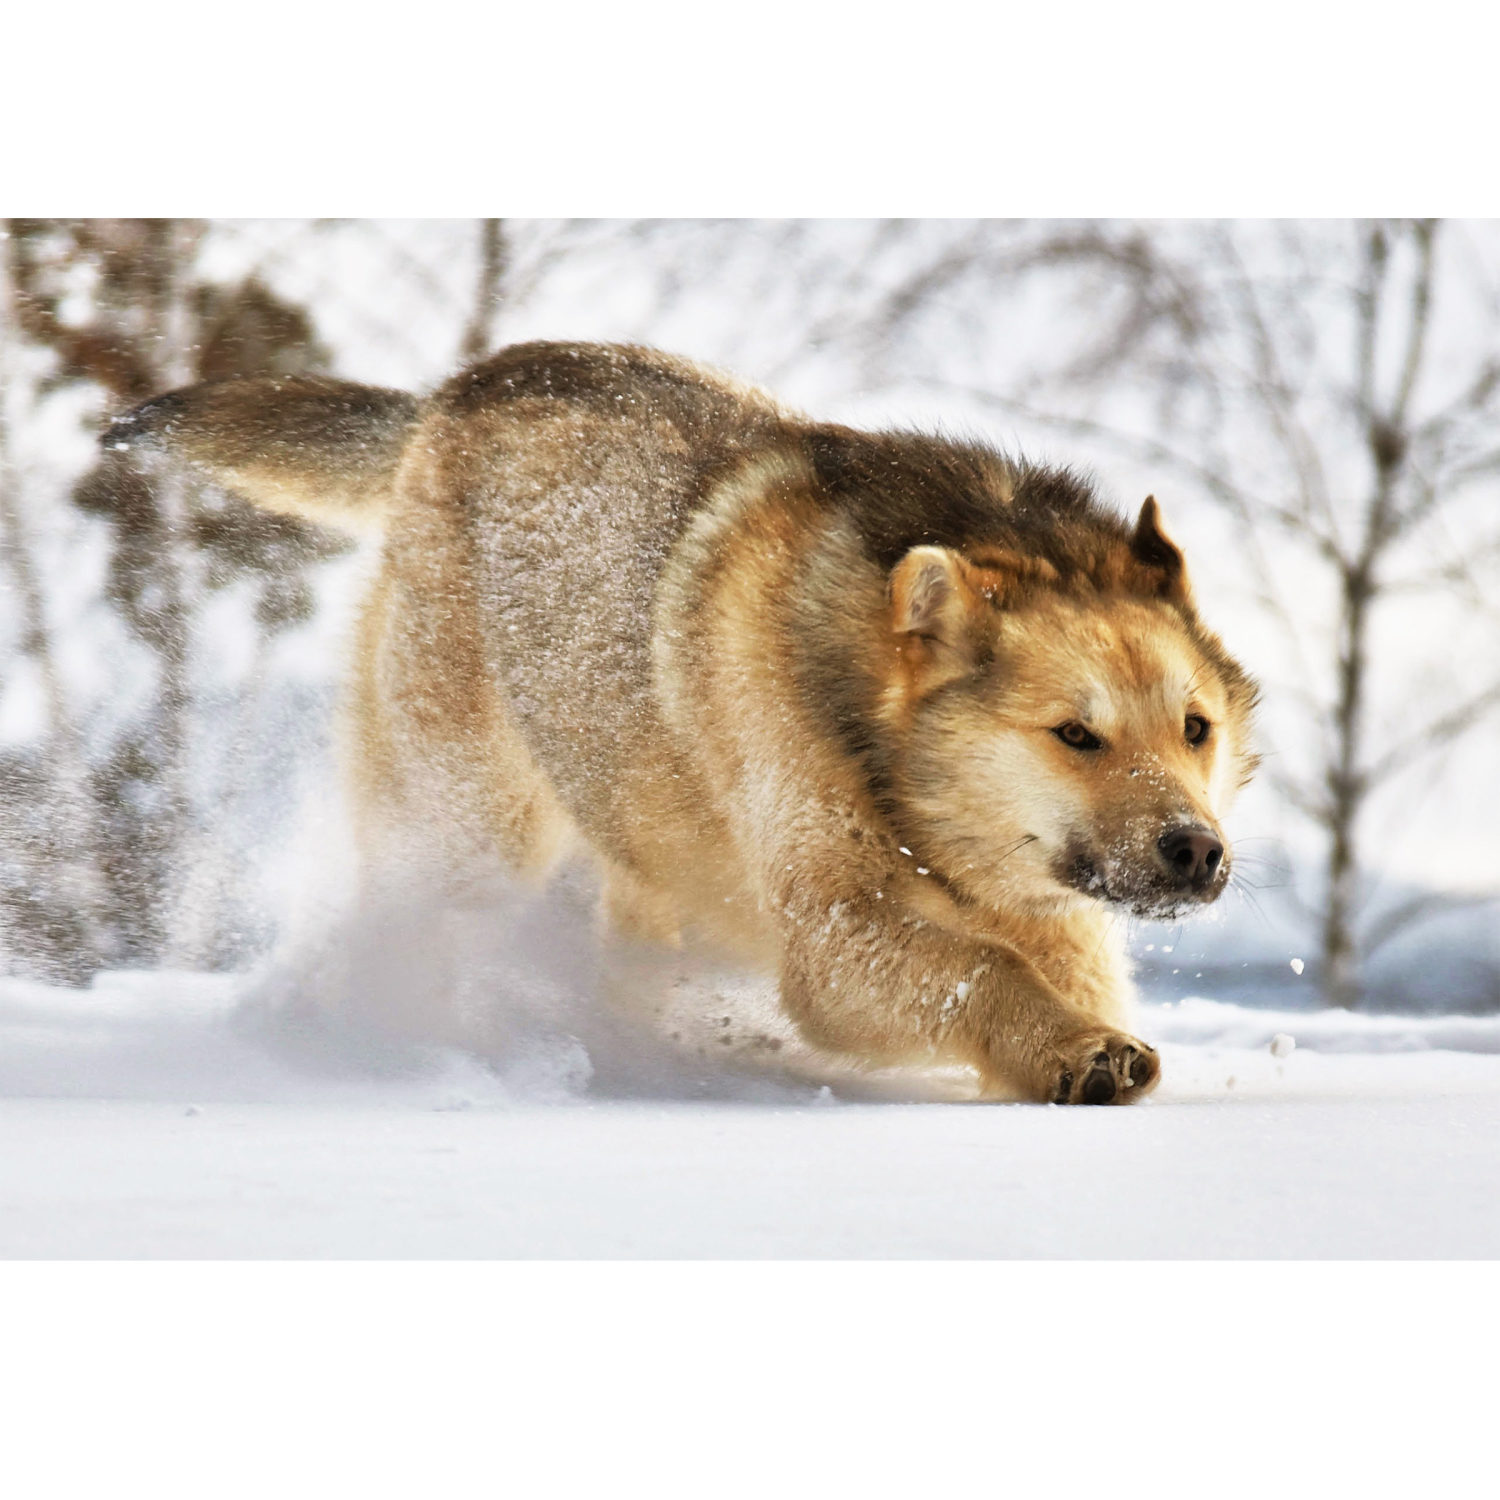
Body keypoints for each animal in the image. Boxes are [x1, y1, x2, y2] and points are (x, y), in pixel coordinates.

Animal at [107, 341, 1258, 1104]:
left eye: (1194, 728)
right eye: (1076, 734)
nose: (1196, 852)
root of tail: (460, 388)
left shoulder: (1051, 914)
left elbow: (1053, 972)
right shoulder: (830, 937)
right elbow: (985, 971)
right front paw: (1077, 1054)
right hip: (475, 828)